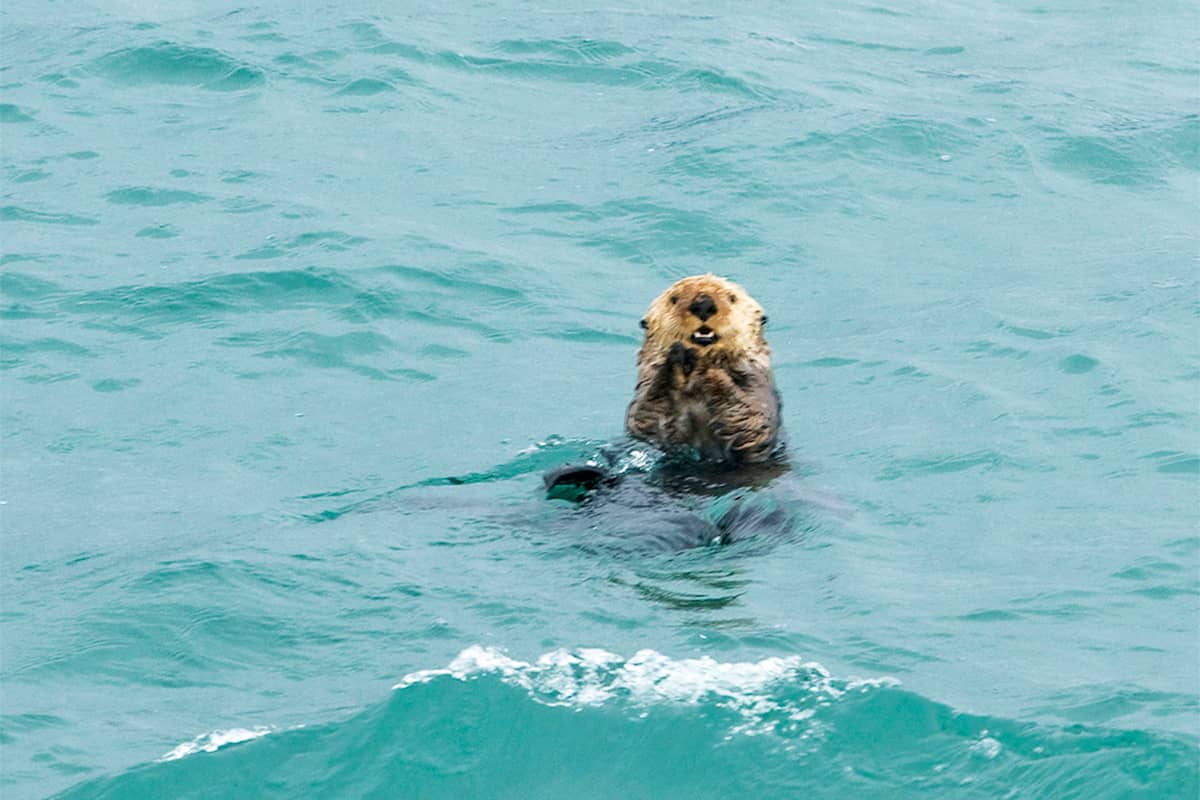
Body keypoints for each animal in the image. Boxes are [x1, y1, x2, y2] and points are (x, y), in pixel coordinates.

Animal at [625, 274, 782, 466]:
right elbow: (645, 422)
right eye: (674, 299)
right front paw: (677, 355)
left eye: (732, 298)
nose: (703, 304)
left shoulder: (758, 390)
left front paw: (704, 362)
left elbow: (754, 425)